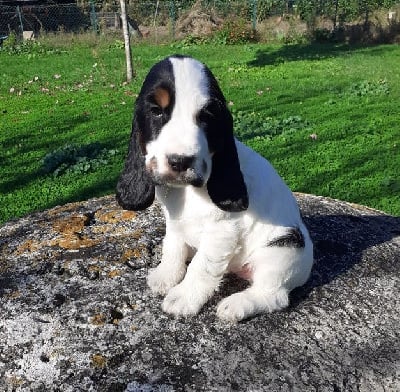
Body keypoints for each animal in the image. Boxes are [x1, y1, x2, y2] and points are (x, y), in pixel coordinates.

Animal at [115, 54, 312, 322]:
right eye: (156, 111)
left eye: (207, 117)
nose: (180, 161)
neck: (186, 192)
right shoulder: (174, 221)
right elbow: (173, 246)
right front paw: (166, 276)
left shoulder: (222, 231)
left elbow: (202, 266)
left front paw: (183, 298)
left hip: (282, 250)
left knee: (274, 295)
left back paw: (237, 305)